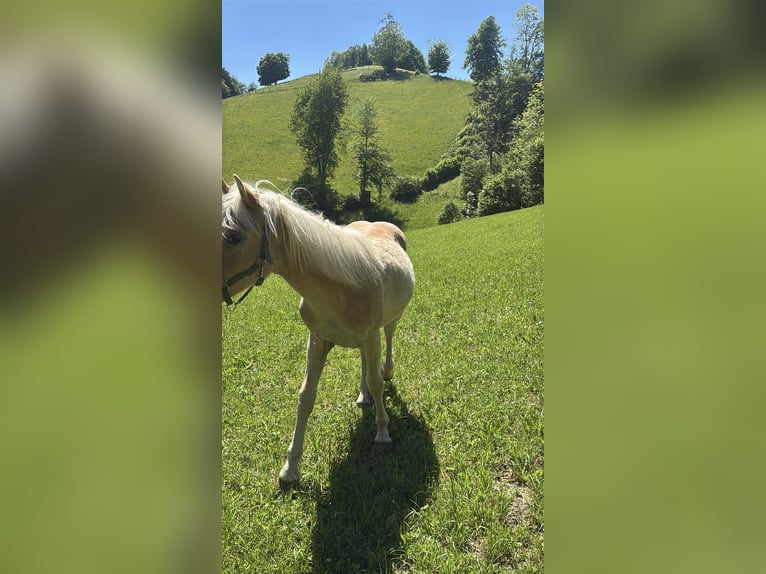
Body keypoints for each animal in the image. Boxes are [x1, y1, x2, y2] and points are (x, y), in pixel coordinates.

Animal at [222, 175, 415, 487]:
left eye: (234, 236)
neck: (339, 287)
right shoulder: (318, 340)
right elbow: (305, 397)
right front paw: (290, 468)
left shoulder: (370, 336)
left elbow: (377, 384)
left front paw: (383, 434)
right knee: (365, 364)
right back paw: (363, 395)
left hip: (386, 327)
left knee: (387, 341)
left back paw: (386, 372)